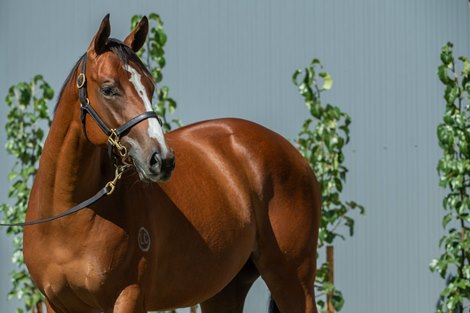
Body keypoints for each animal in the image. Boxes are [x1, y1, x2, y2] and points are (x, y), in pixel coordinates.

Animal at [23, 14, 322, 312]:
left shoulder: (129, 296)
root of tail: (293, 154)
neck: (68, 217)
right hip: (225, 290)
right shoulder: (56, 303)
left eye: (151, 87)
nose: (162, 159)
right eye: (108, 89)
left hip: (292, 280)